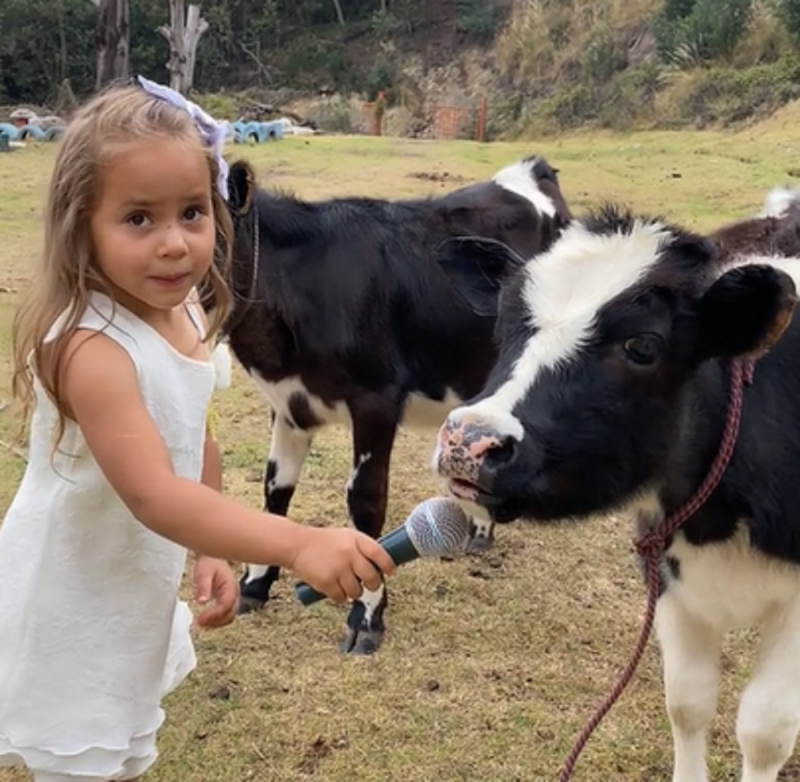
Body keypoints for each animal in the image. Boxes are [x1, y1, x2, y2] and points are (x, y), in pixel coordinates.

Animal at [217, 153, 568, 656]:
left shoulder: (376, 399)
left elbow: (366, 502)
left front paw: (365, 616)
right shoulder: (288, 403)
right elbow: (275, 490)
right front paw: (254, 585)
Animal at [434, 208, 800, 782]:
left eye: (643, 346)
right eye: (503, 324)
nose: (469, 441)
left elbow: (765, 732)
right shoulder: (667, 572)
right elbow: (688, 702)